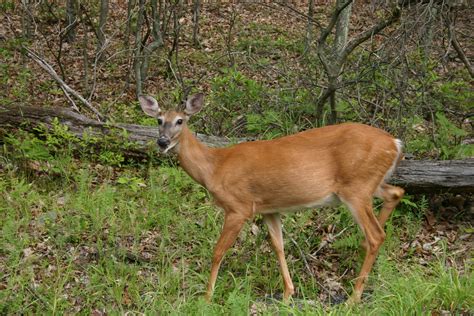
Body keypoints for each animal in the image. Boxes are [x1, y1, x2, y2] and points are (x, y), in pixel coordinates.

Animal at [137, 93, 404, 304]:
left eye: (180, 121)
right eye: (159, 120)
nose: (162, 141)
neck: (214, 167)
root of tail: (395, 143)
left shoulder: (238, 207)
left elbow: (218, 251)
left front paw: (207, 296)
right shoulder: (269, 209)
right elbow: (278, 246)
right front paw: (288, 294)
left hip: (356, 188)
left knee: (377, 234)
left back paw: (353, 297)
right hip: (368, 185)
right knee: (395, 193)